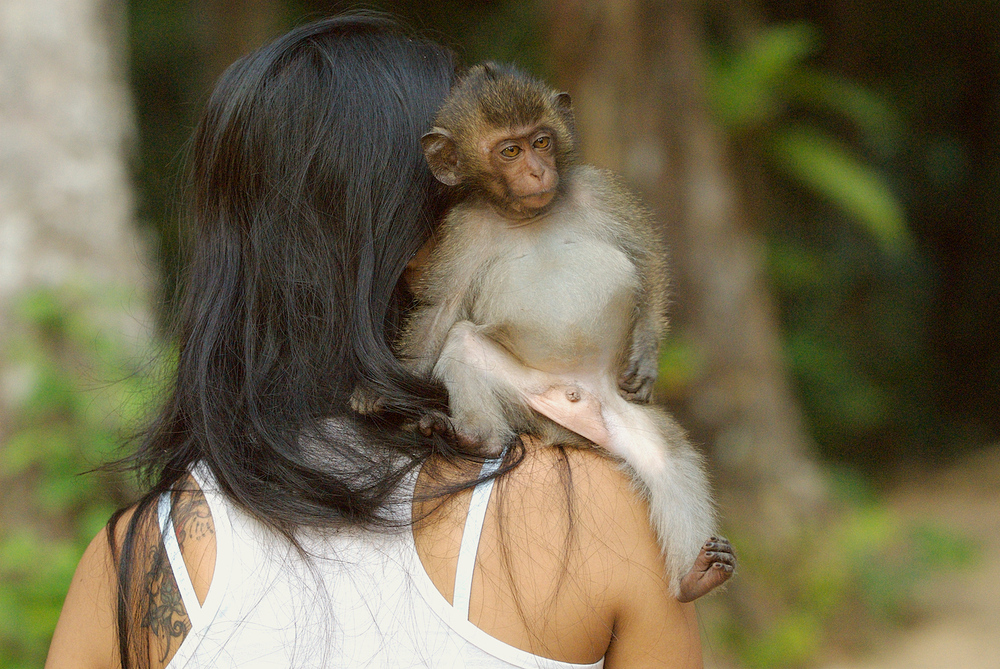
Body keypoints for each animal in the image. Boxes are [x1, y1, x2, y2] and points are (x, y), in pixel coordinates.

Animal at [390, 61, 736, 596]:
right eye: (510, 151)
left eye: (542, 140)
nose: (537, 171)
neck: (529, 214)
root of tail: (575, 410)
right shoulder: (463, 228)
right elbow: (439, 313)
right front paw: (379, 400)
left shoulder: (599, 188)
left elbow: (647, 259)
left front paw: (646, 349)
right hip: (527, 396)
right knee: (464, 342)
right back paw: (477, 439)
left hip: (622, 413)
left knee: (667, 461)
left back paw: (698, 576)